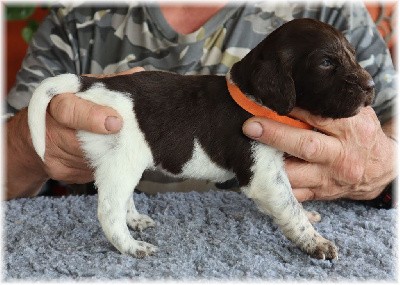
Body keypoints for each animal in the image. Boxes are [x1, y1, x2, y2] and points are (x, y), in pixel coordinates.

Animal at [28, 18, 376, 260]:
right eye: (326, 63)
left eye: (352, 55)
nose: (371, 87)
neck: (254, 97)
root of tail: (90, 85)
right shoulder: (262, 174)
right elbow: (290, 208)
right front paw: (315, 242)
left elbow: (290, 204)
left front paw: (309, 216)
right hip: (120, 161)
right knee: (109, 212)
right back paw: (132, 246)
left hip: (127, 162)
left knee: (123, 201)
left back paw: (136, 221)